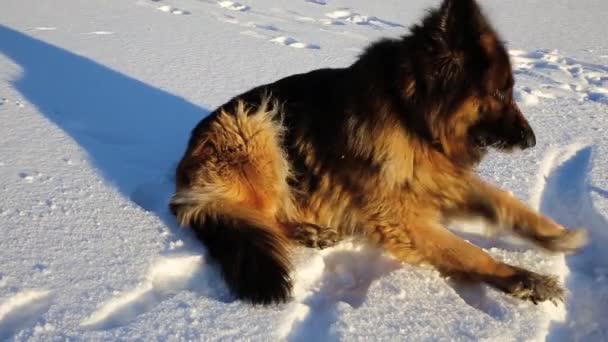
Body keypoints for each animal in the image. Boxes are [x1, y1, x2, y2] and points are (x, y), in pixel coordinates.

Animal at [169, 0, 588, 304]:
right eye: (501, 93)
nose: (532, 141)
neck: (410, 118)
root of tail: (183, 176)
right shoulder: (402, 219)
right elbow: (468, 252)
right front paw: (524, 278)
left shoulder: (442, 179)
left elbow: (505, 202)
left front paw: (556, 234)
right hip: (255, 127)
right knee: (263, 216)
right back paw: (308, 231)